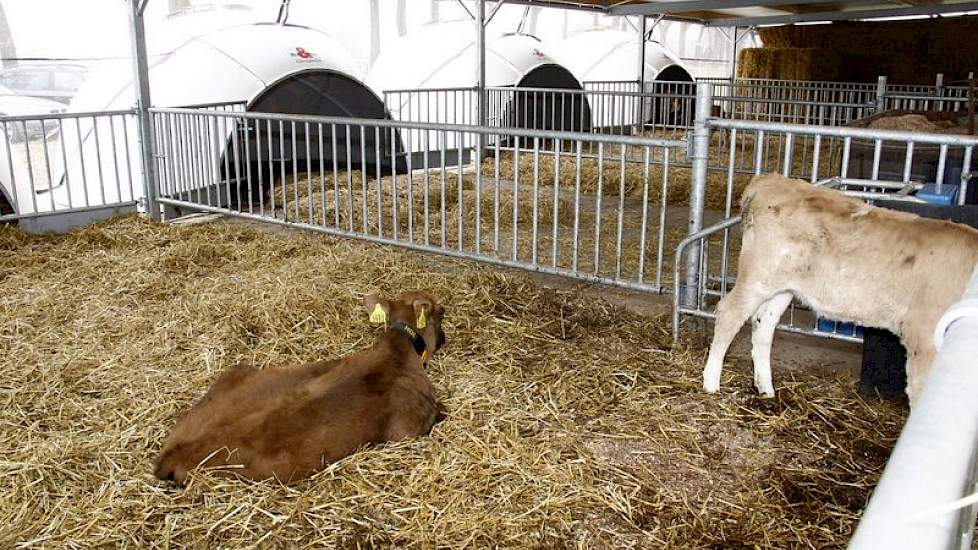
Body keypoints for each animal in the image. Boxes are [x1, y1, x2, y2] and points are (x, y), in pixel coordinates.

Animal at [155, 292, 446, 486]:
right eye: (440, 311)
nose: (444, 337)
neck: (397, 349)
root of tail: (172, 453)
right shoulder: (407, 429)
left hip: (236, 371)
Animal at [700, 176, 976, 406]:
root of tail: (771, 180)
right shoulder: (923, 334)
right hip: (758, 276)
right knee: (729, 312)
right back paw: (711, 384)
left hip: (783, 286)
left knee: (763, 325)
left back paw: (766, 389)